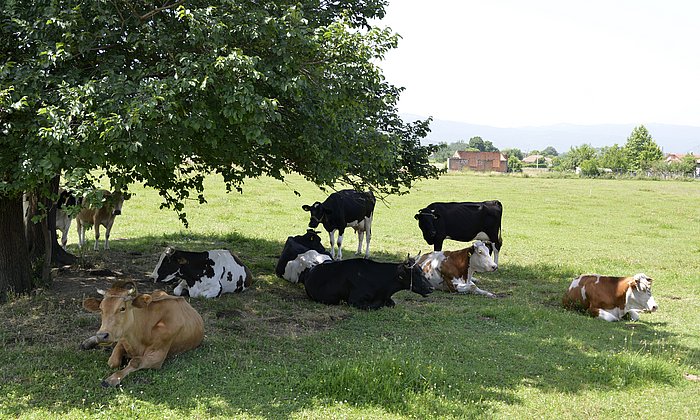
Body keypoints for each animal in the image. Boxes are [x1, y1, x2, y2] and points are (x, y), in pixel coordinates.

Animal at [300, 254, 432, 310]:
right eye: (416, 273)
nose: (431, 288)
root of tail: (310, 268)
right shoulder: (354, 300)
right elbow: (374, 305)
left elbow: (392, 303)